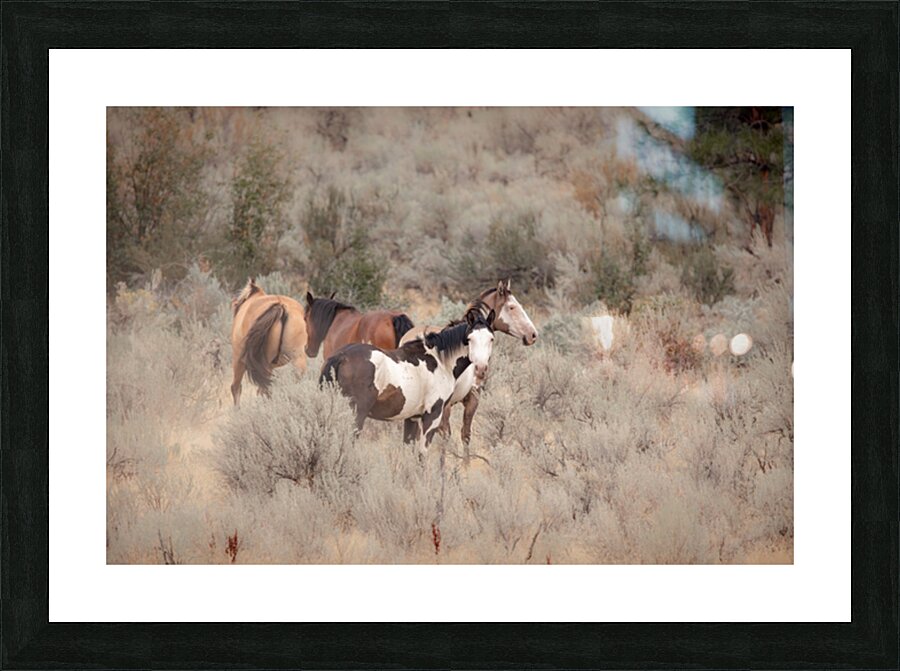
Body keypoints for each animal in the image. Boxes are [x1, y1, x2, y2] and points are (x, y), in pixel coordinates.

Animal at [230, 278, 308, 406]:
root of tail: (281, 307)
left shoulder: (238, 359)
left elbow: (236, 388)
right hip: (297, 358)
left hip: (261, 363)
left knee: (256, 389)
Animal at [320, 310, 496, 456]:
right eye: (470, 339)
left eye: (491, 339)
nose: (480, 369)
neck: (439, 361)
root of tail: (341, 357)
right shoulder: (432, 417)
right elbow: (421, 456)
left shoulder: (412, 418)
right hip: (356, 415)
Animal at [398, 279, 538, 449]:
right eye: (512, 307)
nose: (533, 334)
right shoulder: (455, 403)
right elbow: (450, 435)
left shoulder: (469, 400)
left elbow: (465, 435)